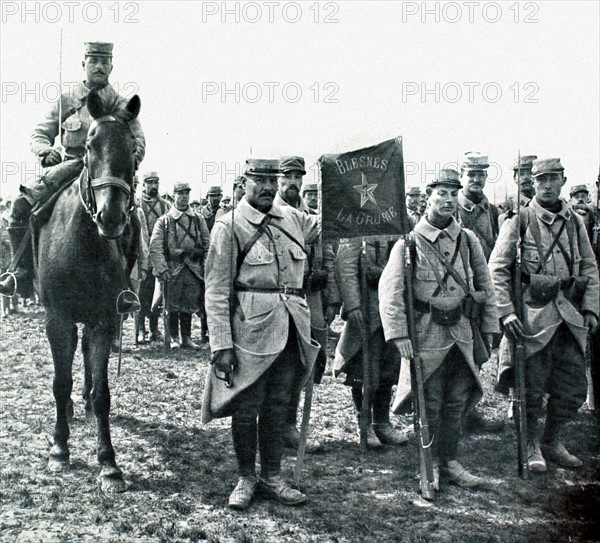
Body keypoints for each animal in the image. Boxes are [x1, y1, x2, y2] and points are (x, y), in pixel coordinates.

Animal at [37, 90, 141, 492]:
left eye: (133, 148)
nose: (111, 217)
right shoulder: (58, 320)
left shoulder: (104, 320)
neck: (84, 243)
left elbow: (102, 394)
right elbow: (59, 381)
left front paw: (109, 463)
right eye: (90, 145)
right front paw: (59, 449)